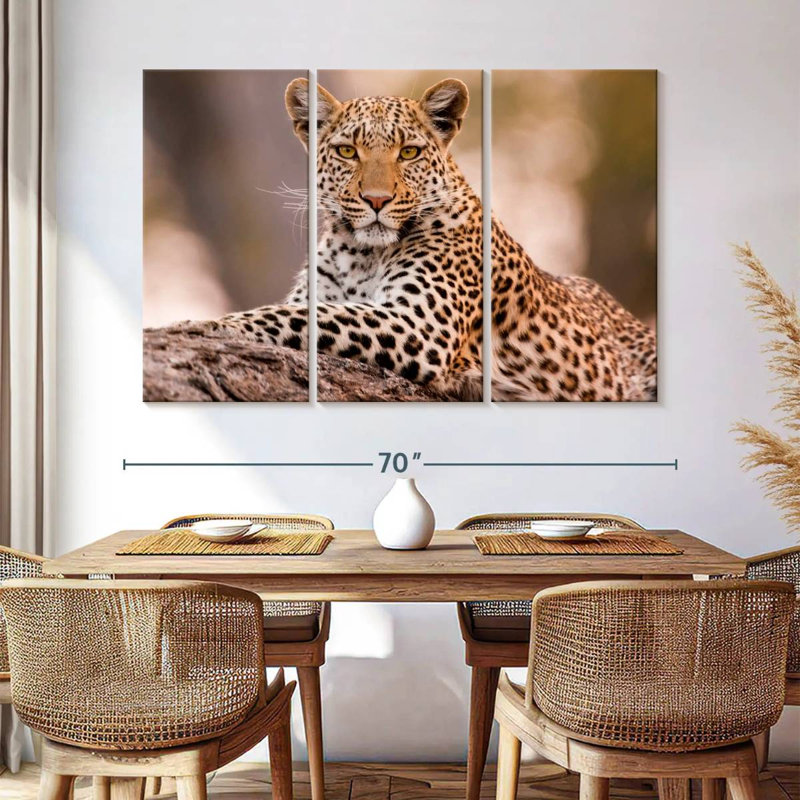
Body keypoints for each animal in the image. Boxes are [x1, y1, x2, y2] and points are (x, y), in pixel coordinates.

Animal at [197, 77, 656, 401]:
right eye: (347, 152)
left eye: (409, 153)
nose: (376, 200)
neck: (360, 254)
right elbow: (301, 310)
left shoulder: (420, 324)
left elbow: (298, 316)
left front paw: (205, 325)